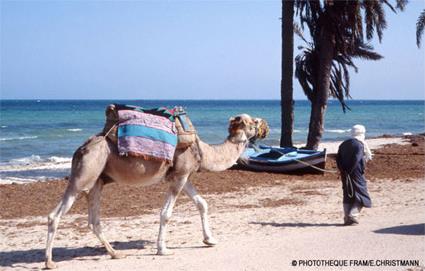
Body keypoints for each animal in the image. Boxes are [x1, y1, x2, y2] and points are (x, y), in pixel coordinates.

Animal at [45, 112, 264, 270]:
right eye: (253, 122)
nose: (264, 124)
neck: (202, 151)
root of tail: (81, 149)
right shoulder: (180, 175)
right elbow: (166, 213)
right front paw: (163, 249)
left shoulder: (183, 175)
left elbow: (202, 203)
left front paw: (209, 240)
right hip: (84, 174)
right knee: (55, 215)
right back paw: (49, 262)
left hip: (97, 180)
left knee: (94, 220)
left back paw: (116, 253)